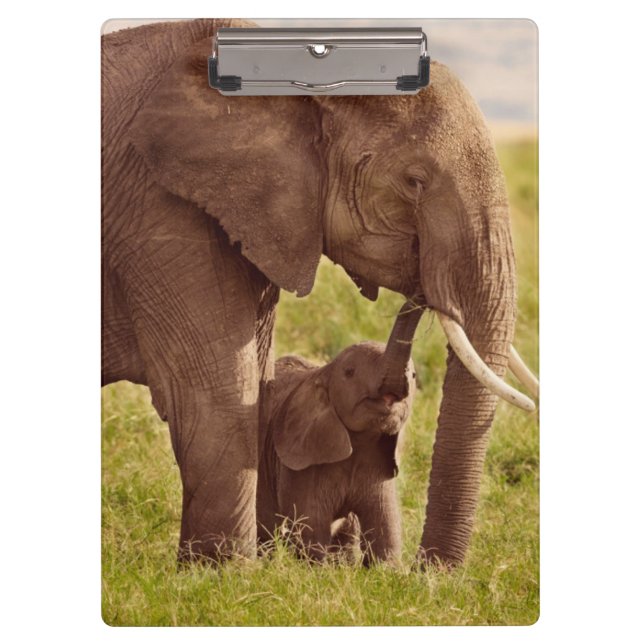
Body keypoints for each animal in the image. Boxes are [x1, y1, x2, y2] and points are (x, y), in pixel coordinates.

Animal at [256, 302, 421, 565]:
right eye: (350, 372)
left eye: (414, 376)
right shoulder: (301, 464)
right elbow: (311, 527)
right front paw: (317, 568)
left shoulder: (379, 463)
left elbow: (385, 528)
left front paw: (386, 569)